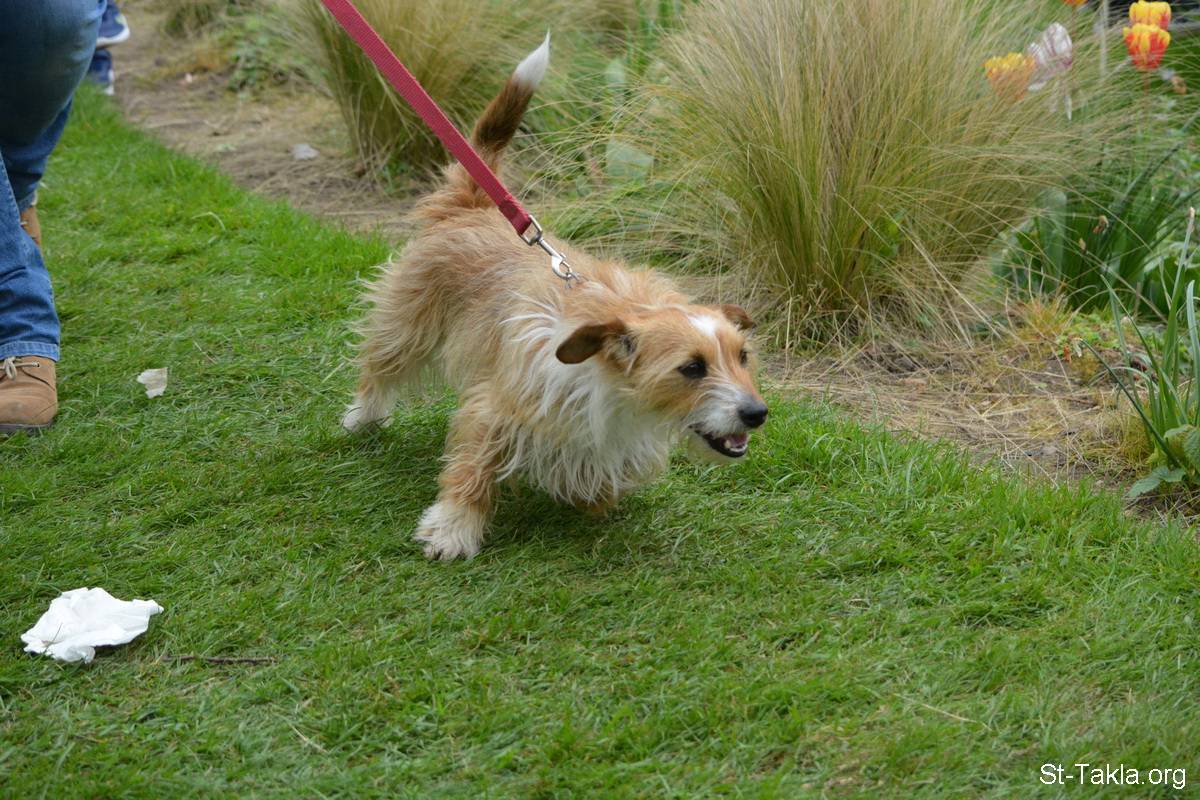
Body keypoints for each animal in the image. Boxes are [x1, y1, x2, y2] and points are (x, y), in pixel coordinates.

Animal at [342, 35, 768, 560]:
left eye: (743, 357)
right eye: (692, 368)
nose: (757, 414)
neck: (612, 384)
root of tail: (472, 206)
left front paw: (588, 497)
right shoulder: (498, 407)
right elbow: (472, 468)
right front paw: (453, 528)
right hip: (407, 326)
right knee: (380, 368)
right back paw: (363, 417)